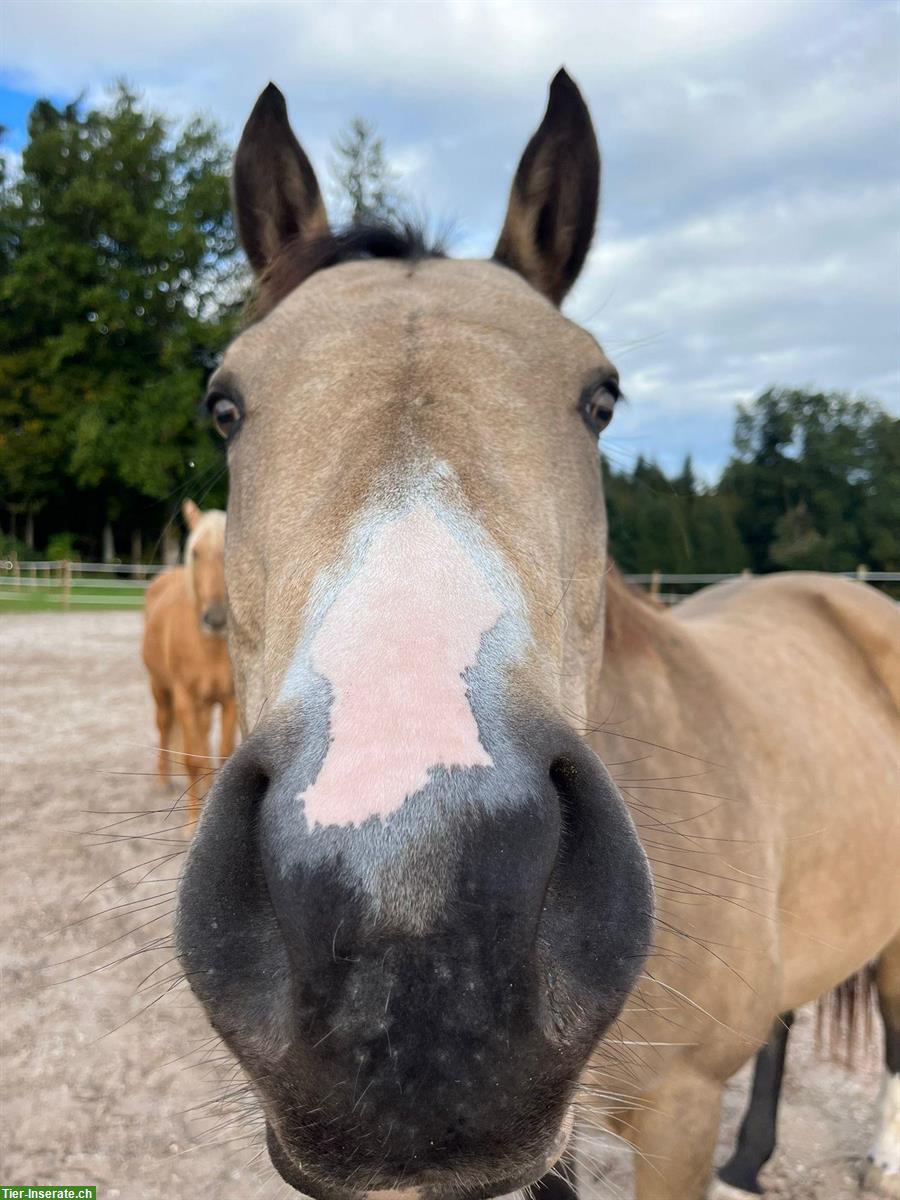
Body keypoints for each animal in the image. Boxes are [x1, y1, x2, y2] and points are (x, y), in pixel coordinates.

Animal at [141, 496, 237, 825]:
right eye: (195, 552)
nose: (217, 618)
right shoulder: (185, 697)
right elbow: (191, 761)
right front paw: (192, 826)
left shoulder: (229, 700)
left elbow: (222, 754)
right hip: (161, 691)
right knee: (163, 728)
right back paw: (161, 781)